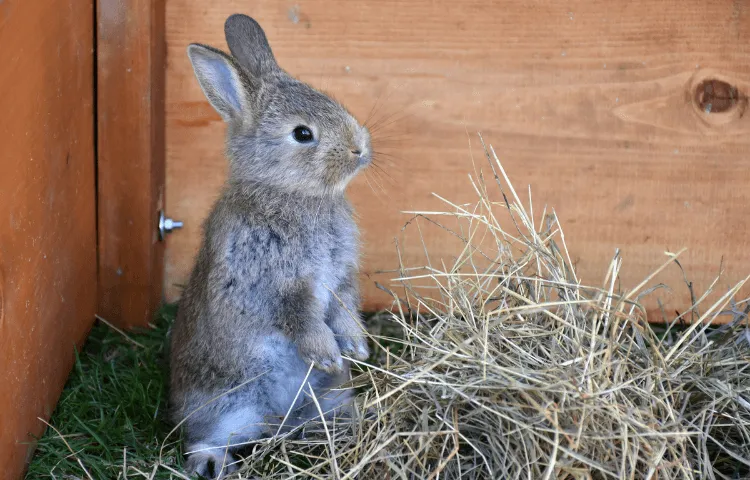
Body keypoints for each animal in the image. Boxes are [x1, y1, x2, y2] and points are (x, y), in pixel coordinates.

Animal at [168, 13, 372, 479]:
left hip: (326, 398)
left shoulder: (341, 278)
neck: (290, 194)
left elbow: (345, 307)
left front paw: (356, 347)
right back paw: (212, 462)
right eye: (303, 134)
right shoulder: (272, 282)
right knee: (202, 436)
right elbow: (300, 317)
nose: (360, 148)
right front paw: (328, 354)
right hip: (227, 403)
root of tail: (279, 420)